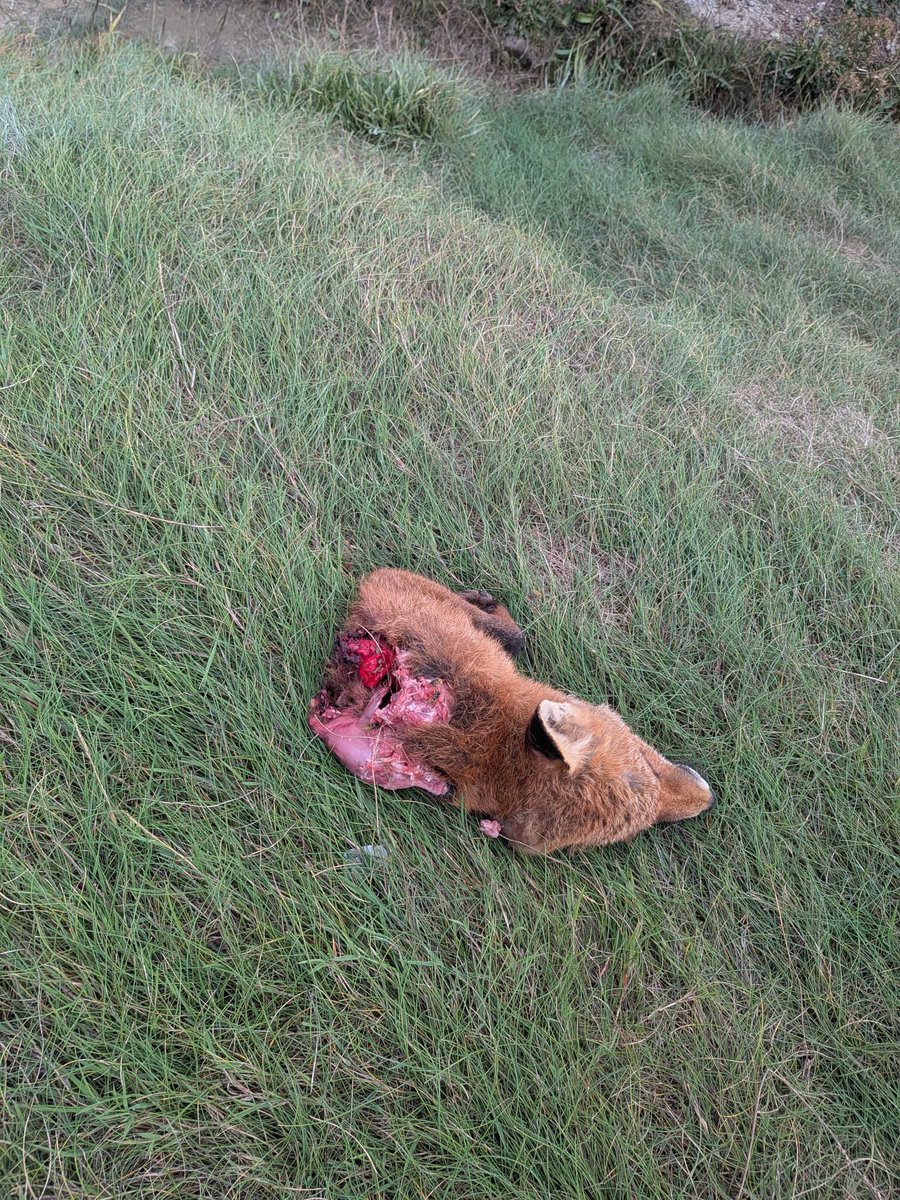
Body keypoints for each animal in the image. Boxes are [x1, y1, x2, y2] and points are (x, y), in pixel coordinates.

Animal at [309, 567, 715, 855]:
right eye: (645, 763)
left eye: (640, 828)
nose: (709, 802)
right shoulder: (393, 588)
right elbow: (514, 636)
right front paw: (487, 605)